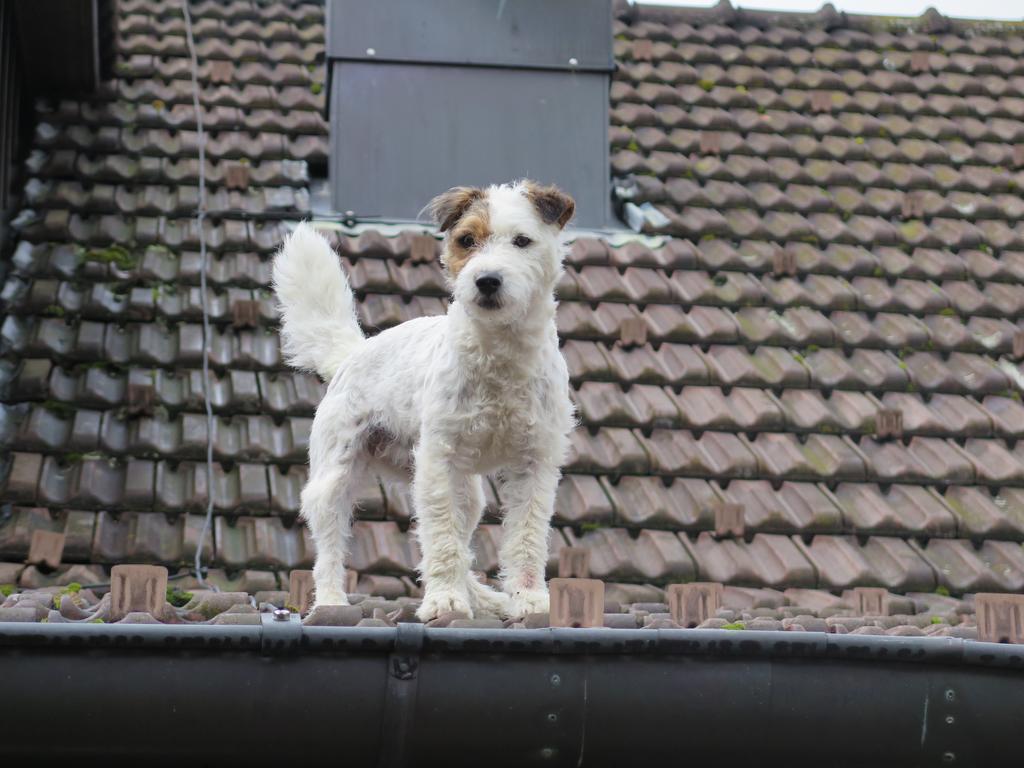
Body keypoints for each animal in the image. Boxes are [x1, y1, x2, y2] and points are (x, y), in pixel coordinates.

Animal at [272, 183, 577, 622]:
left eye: (522, 241)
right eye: (466, 240)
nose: (486, 281)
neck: (499, 354)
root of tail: (350, 354)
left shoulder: (535, 465)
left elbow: (526, 538)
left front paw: (529, 598)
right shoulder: (438, 461)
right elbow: (442, 540)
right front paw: (444, 601)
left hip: (466, 493)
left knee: (464, 544)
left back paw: (483, 598)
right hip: (335, 479)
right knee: (330, 550)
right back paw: (331, 601)